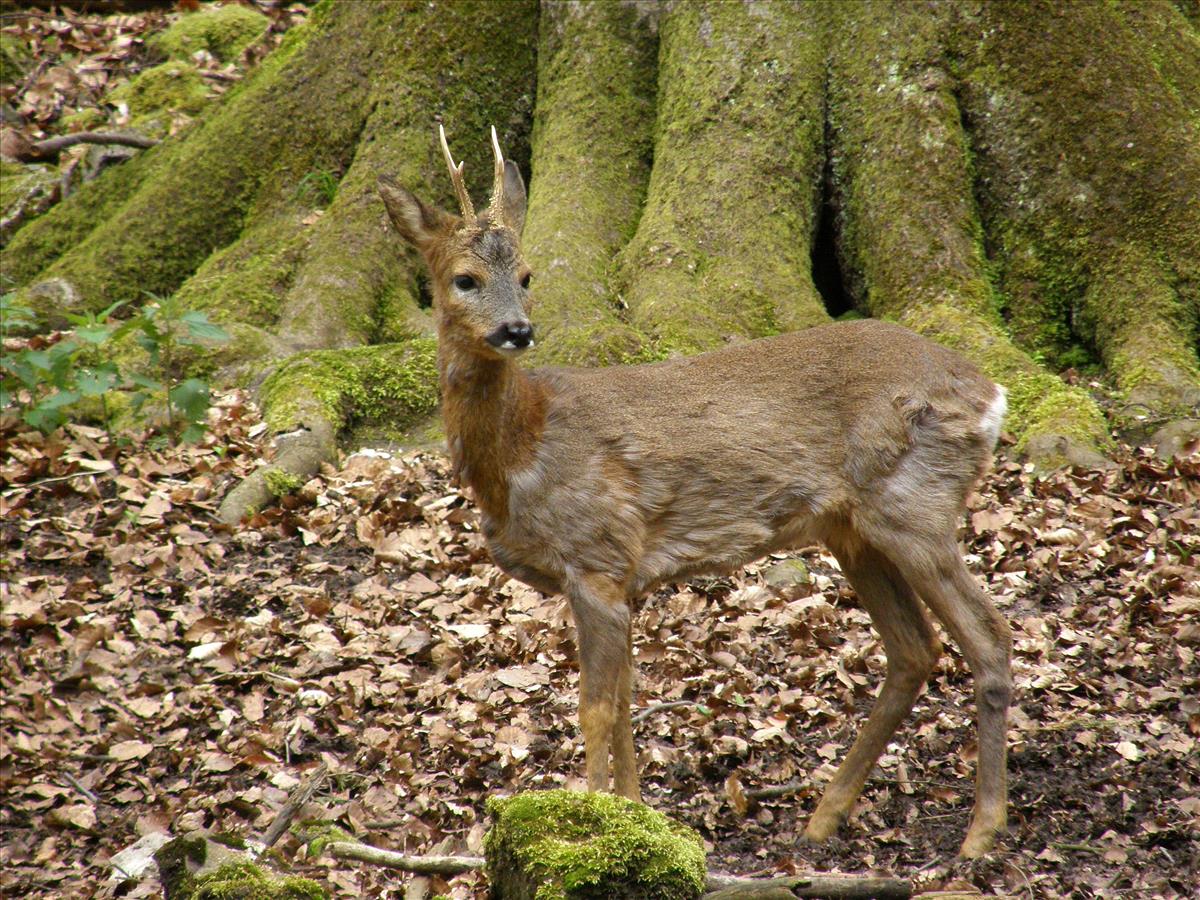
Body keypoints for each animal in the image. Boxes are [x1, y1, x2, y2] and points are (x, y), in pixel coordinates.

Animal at [379, 127, 1017, 859]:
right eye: (465, 278)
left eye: (529, 275)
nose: (517, 330)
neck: (521, 449)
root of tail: (992, 396)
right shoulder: (622, 578)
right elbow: (627, 705)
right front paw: (638, 820)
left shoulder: (597, 558)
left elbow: (595, 709)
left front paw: (587, 828)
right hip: (854, 532)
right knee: (915, 651)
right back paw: (823, 818)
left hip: (917, 509)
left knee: (988, 635)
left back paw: (981, 830)